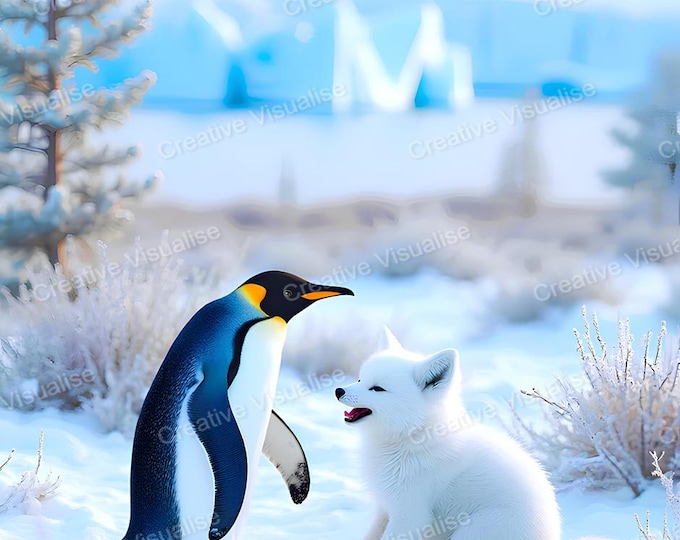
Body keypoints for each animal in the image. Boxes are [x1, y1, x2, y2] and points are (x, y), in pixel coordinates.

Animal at [335, 327, 561, 540]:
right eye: (360, 379)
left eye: (377, 388)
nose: (339, 391)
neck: (412, 436)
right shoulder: (385, 506)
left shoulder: (410, 512)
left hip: (472, 529)